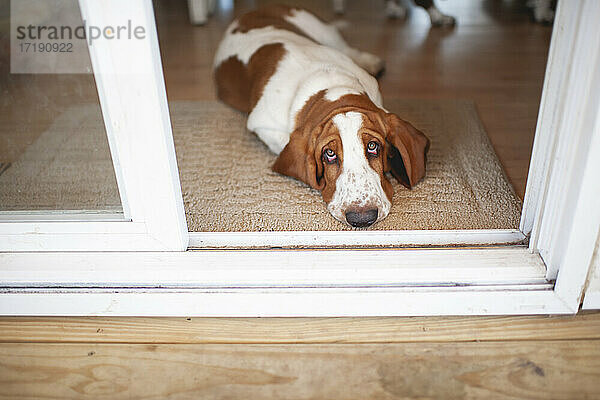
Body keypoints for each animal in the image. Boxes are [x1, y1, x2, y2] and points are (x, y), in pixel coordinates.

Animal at [213, 5, 428, 228]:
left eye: (372, 146)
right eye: (329, 153)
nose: (362, 218)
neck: (333, 87)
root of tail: (254, 11)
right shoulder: (262, 125)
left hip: (324, 32)